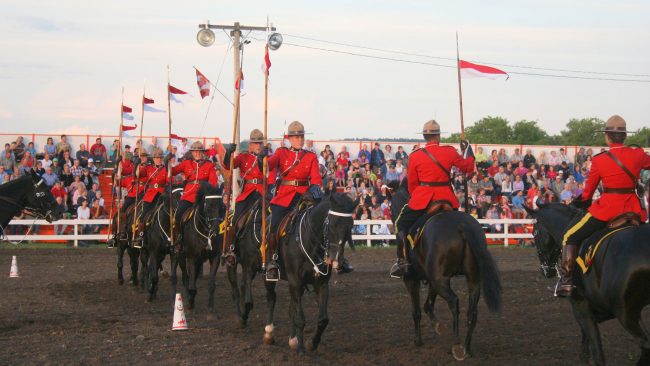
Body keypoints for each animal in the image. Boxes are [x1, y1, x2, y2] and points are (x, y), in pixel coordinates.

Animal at [173, 183, 224, 318]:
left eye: (222, 205)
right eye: (209, 206)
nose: (216, 230)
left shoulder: (215, 258)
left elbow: (211, 285)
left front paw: (211, 310)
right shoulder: (191, 258)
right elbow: (191, 283)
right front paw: (190, 305)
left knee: (192, 277)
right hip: (180, 256)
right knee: (186, 277)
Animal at [262, 193, 354, 356]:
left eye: (351, 226)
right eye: (333, 224)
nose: (338, 261)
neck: (310, 240)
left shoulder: (321, 283)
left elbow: (323, 319)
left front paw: (312, 343)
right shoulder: (296, 281)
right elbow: (300, 318)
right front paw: (301, 349)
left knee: (291, 307)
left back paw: (293, 339)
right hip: (271, 276)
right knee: (271, 298)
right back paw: (269, 333)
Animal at [390, 179, 502, 358]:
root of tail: (461, 226)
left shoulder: (412, 280)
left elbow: (417, 311)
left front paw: (419, 340)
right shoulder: (433, 279)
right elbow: (428, 305)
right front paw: (438, 326)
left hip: (439, 280)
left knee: (454, 302)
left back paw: (456, 345)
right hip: (471, 279)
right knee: (472, 311)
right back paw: (466, 347)